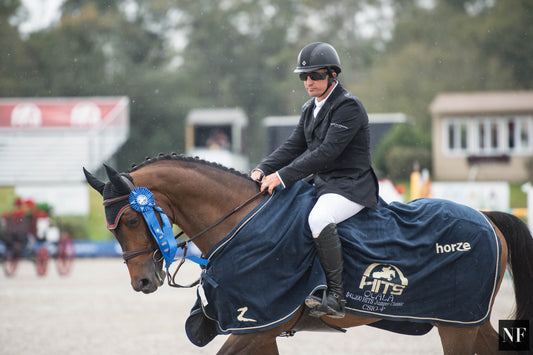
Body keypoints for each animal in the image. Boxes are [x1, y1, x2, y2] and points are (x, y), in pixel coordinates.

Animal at [83, 154, 532, 355]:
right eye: (113, 227)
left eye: (130, 220)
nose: (143, 282)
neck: (242, 224)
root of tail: (487, 218)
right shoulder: (260, 330)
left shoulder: (256, 323)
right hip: (467, 322)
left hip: (456, 324)